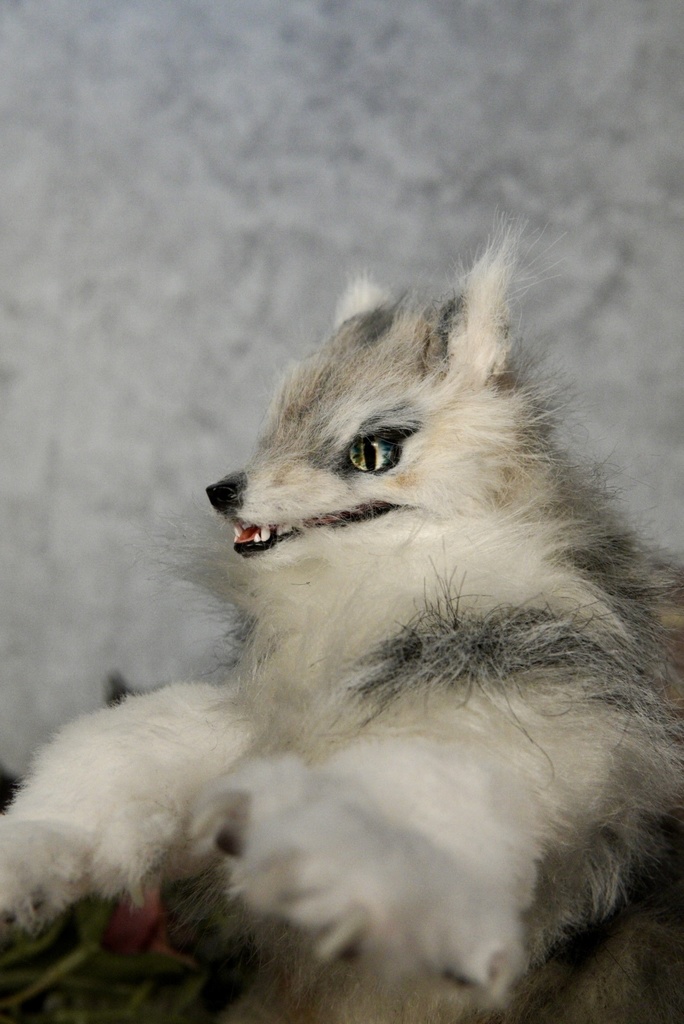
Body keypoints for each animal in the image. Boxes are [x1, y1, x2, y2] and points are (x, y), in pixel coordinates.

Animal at [1, 237, 682, 1023]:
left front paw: (317, 868)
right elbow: (117, 755)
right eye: (271, 431)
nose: (222, 490)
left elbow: (404, 808)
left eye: (372, 451)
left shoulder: (520, 730)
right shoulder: (250, 721)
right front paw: (28, 853)